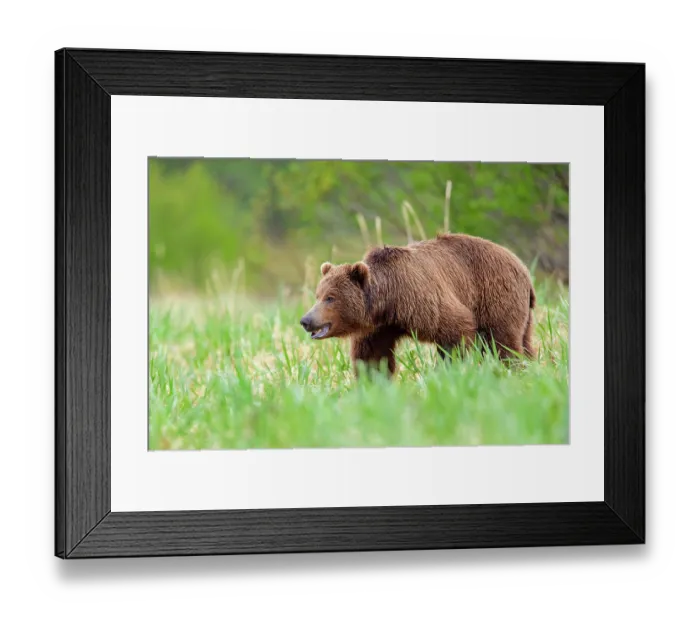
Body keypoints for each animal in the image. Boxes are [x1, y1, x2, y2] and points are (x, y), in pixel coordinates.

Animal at [299, 233, 536, 377]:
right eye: (318, 295)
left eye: (331, 297)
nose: (306, 320)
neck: (389, 301)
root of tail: (524, 269)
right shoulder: (380, 327)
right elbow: (372, 356)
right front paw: (373, 381)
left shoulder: (423, 300)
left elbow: (455, 331)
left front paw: (450, 370)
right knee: (525, 342)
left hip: (495, 298)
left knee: (503, 343)